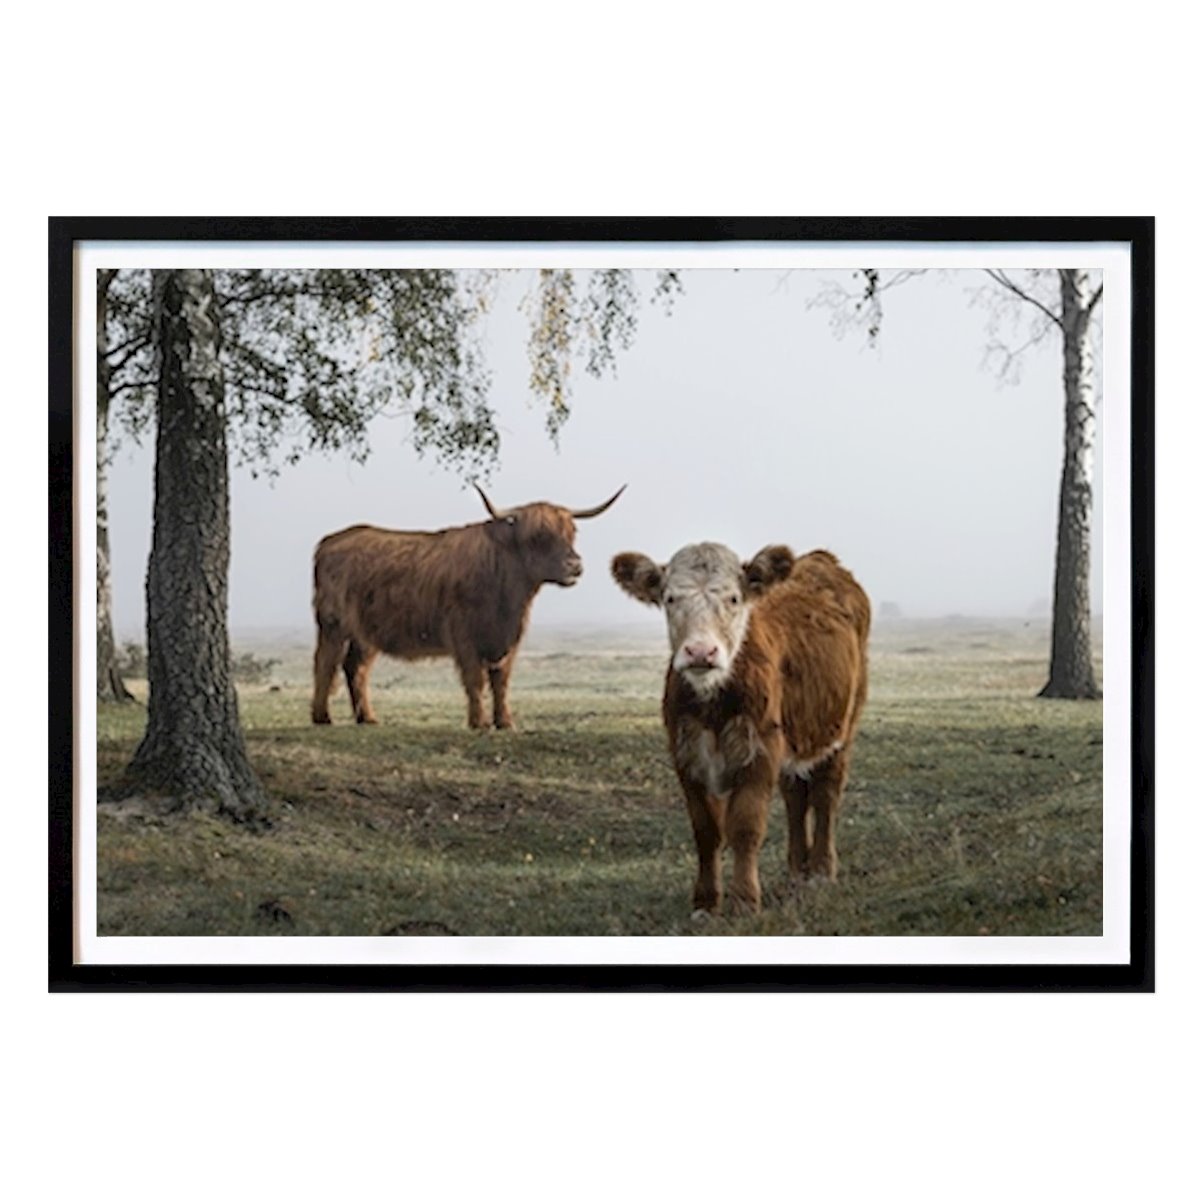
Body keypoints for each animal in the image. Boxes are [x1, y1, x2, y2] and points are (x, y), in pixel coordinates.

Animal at [312, 484, 625, 730]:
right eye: (538, 537)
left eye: (571, 533)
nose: (575, 566)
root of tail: (330, 541)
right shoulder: (464, 636)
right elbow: (475, 679)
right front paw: (479, 723)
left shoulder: (510, 640)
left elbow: (501, 681)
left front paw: (505, 722)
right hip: (333, 624)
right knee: (326, 663)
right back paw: (322, 717)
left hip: (365, 633)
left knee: (356, 667)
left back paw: (367, 718)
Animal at [611, 542, 869, 916]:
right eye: (670, 598)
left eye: (734, 598)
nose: (700, 651)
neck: (712, 701)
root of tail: (821, 559)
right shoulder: (686, 755)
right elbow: (706, 831)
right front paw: (705, 902)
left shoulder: (758, 751)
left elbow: (746, 827)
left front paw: (745, 900)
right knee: (795, 797)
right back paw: (797, 870)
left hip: (841, 729)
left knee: (825, 796)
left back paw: (821, 871)